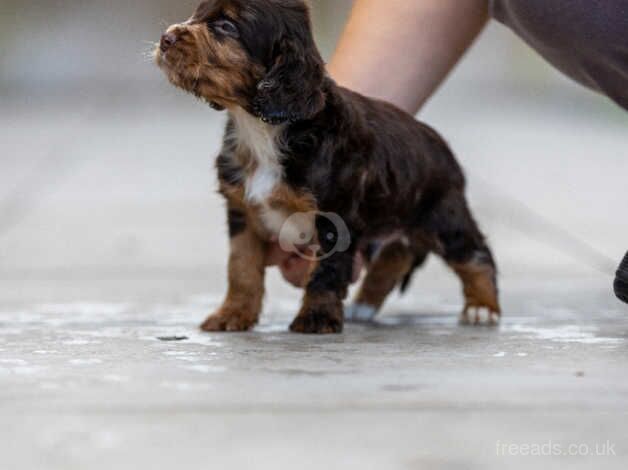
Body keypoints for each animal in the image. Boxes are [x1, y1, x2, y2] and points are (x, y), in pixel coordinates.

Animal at [157, 1, 500, 336]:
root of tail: (440, 145)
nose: (165, 39)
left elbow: (326, 272)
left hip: (444, 216)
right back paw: (365, 306)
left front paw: (316, 318)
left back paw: (482, 308)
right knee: (396, 256)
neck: (263, 129)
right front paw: (233, 314)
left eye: (226, 26)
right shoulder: (243, 210)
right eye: (195, 15)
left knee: (476, 255)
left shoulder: (335, 217)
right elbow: (241, 267)